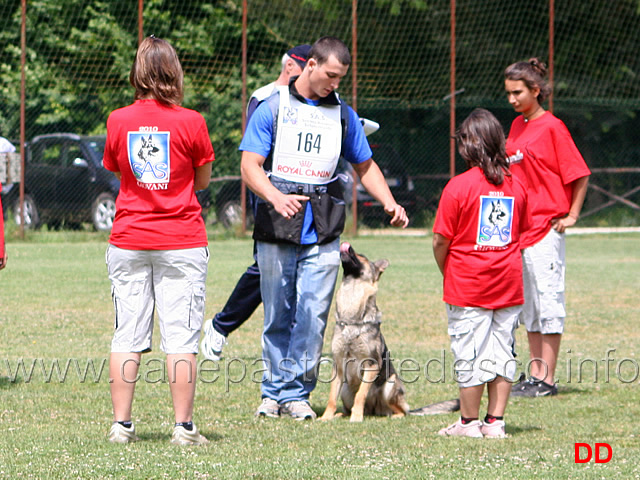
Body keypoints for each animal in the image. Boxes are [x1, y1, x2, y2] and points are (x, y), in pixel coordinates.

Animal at [320, 242, 460, 422]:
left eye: (362, 256)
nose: (347, 245)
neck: (351, 317)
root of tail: (373, 411)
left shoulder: (371, 365)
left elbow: (361, 394)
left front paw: (356, 418)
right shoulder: (338, 366)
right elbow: (331, 397)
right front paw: (326, 417)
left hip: (390, 384)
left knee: (398, 410)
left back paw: (390, 416)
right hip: (345, 389)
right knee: (348, 407)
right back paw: (341, 414)